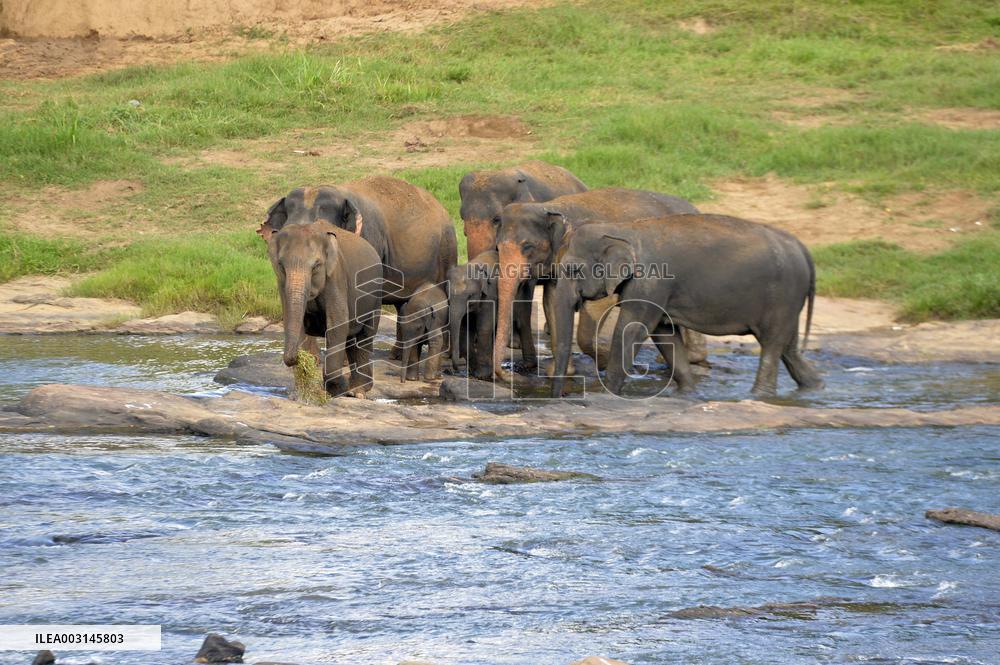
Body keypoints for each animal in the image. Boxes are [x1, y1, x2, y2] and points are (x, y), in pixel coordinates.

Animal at [259, 176, 458, 356]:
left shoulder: (369, 240)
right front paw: (311, 360)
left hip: (446, 249)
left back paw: (443, 355)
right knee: (403, 304)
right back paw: (396, 355)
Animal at [266, 221, 382, 398]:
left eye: (316, 266)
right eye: (281, 265)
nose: (294, 358)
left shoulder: (336, 277)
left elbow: (337, 323)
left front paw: (336, 389)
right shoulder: (281, 284)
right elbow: (293, 322)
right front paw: (303, 391)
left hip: (375, 297)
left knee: (364, 336)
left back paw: (357, 391)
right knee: (351, 339)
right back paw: (353, 389)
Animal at [493, 187, 700, 378]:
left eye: (528, 247)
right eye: (498, 247)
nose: (511, 372)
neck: (550, 207)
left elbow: (599, 304)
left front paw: (605, 363)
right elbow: (552, 301)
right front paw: (560, 372)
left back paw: (692, 358)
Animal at [549, 215, 823, 398]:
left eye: (573, 269)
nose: (560, 396)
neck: (623, 229)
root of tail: (803, 248)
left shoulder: (650, 284)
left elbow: (631, 330)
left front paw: (606, 395)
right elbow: (664, 334)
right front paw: (687, 393)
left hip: (783, 296)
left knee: (772, 344)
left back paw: (760, 396)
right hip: (789, 300)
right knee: (789, 347)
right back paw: (815, 387)